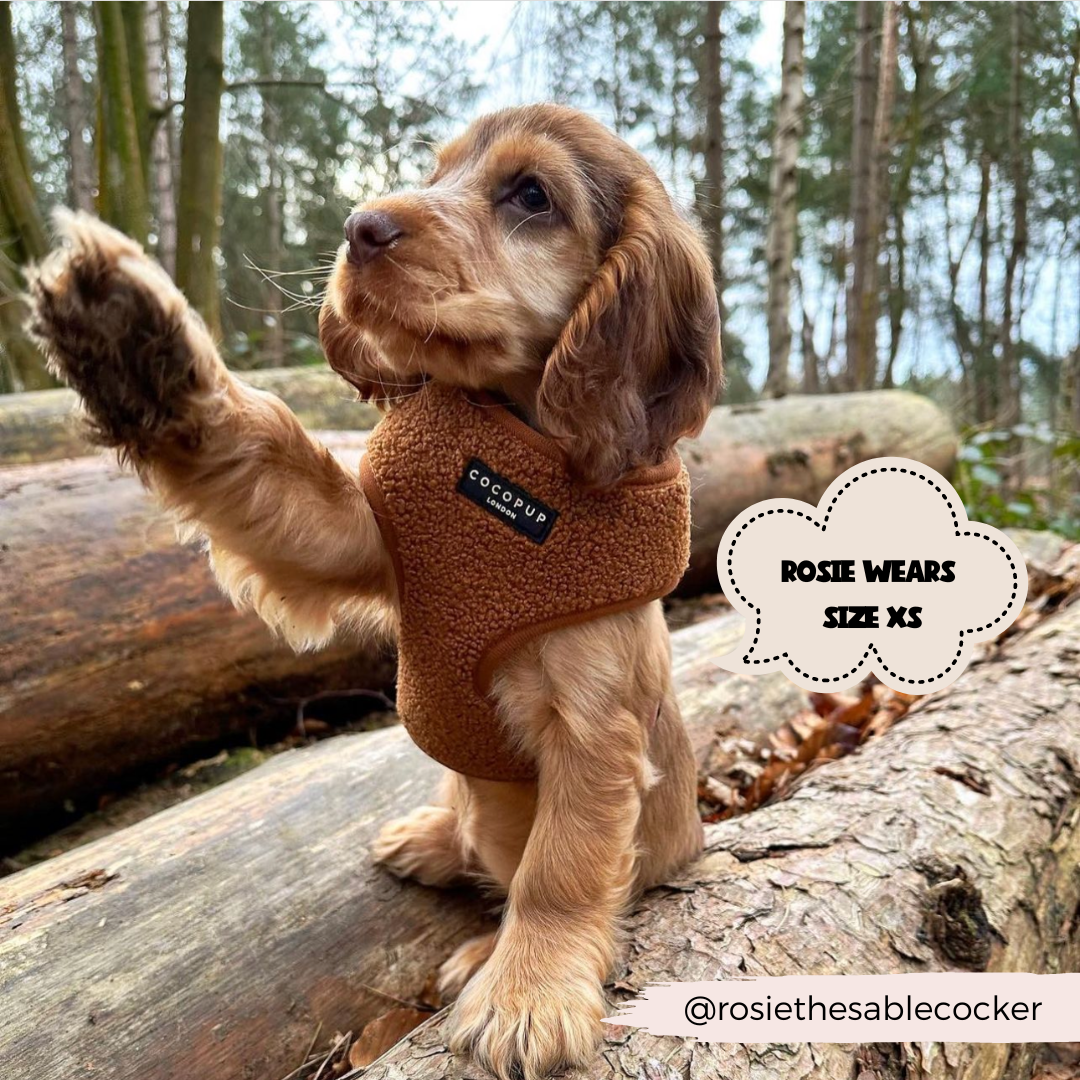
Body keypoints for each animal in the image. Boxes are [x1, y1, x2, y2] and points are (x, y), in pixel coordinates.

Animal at [31, 103, 725, 1080]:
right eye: (436, 173)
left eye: (531, 195)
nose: (358, 227)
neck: (510, 446)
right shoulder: (357, 535)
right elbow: (264, 450)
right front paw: (132, 345)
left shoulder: (595, 726)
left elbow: (561, 866)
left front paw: (527, 992)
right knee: (468, 822)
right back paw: (430, 839)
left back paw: (481, 952)